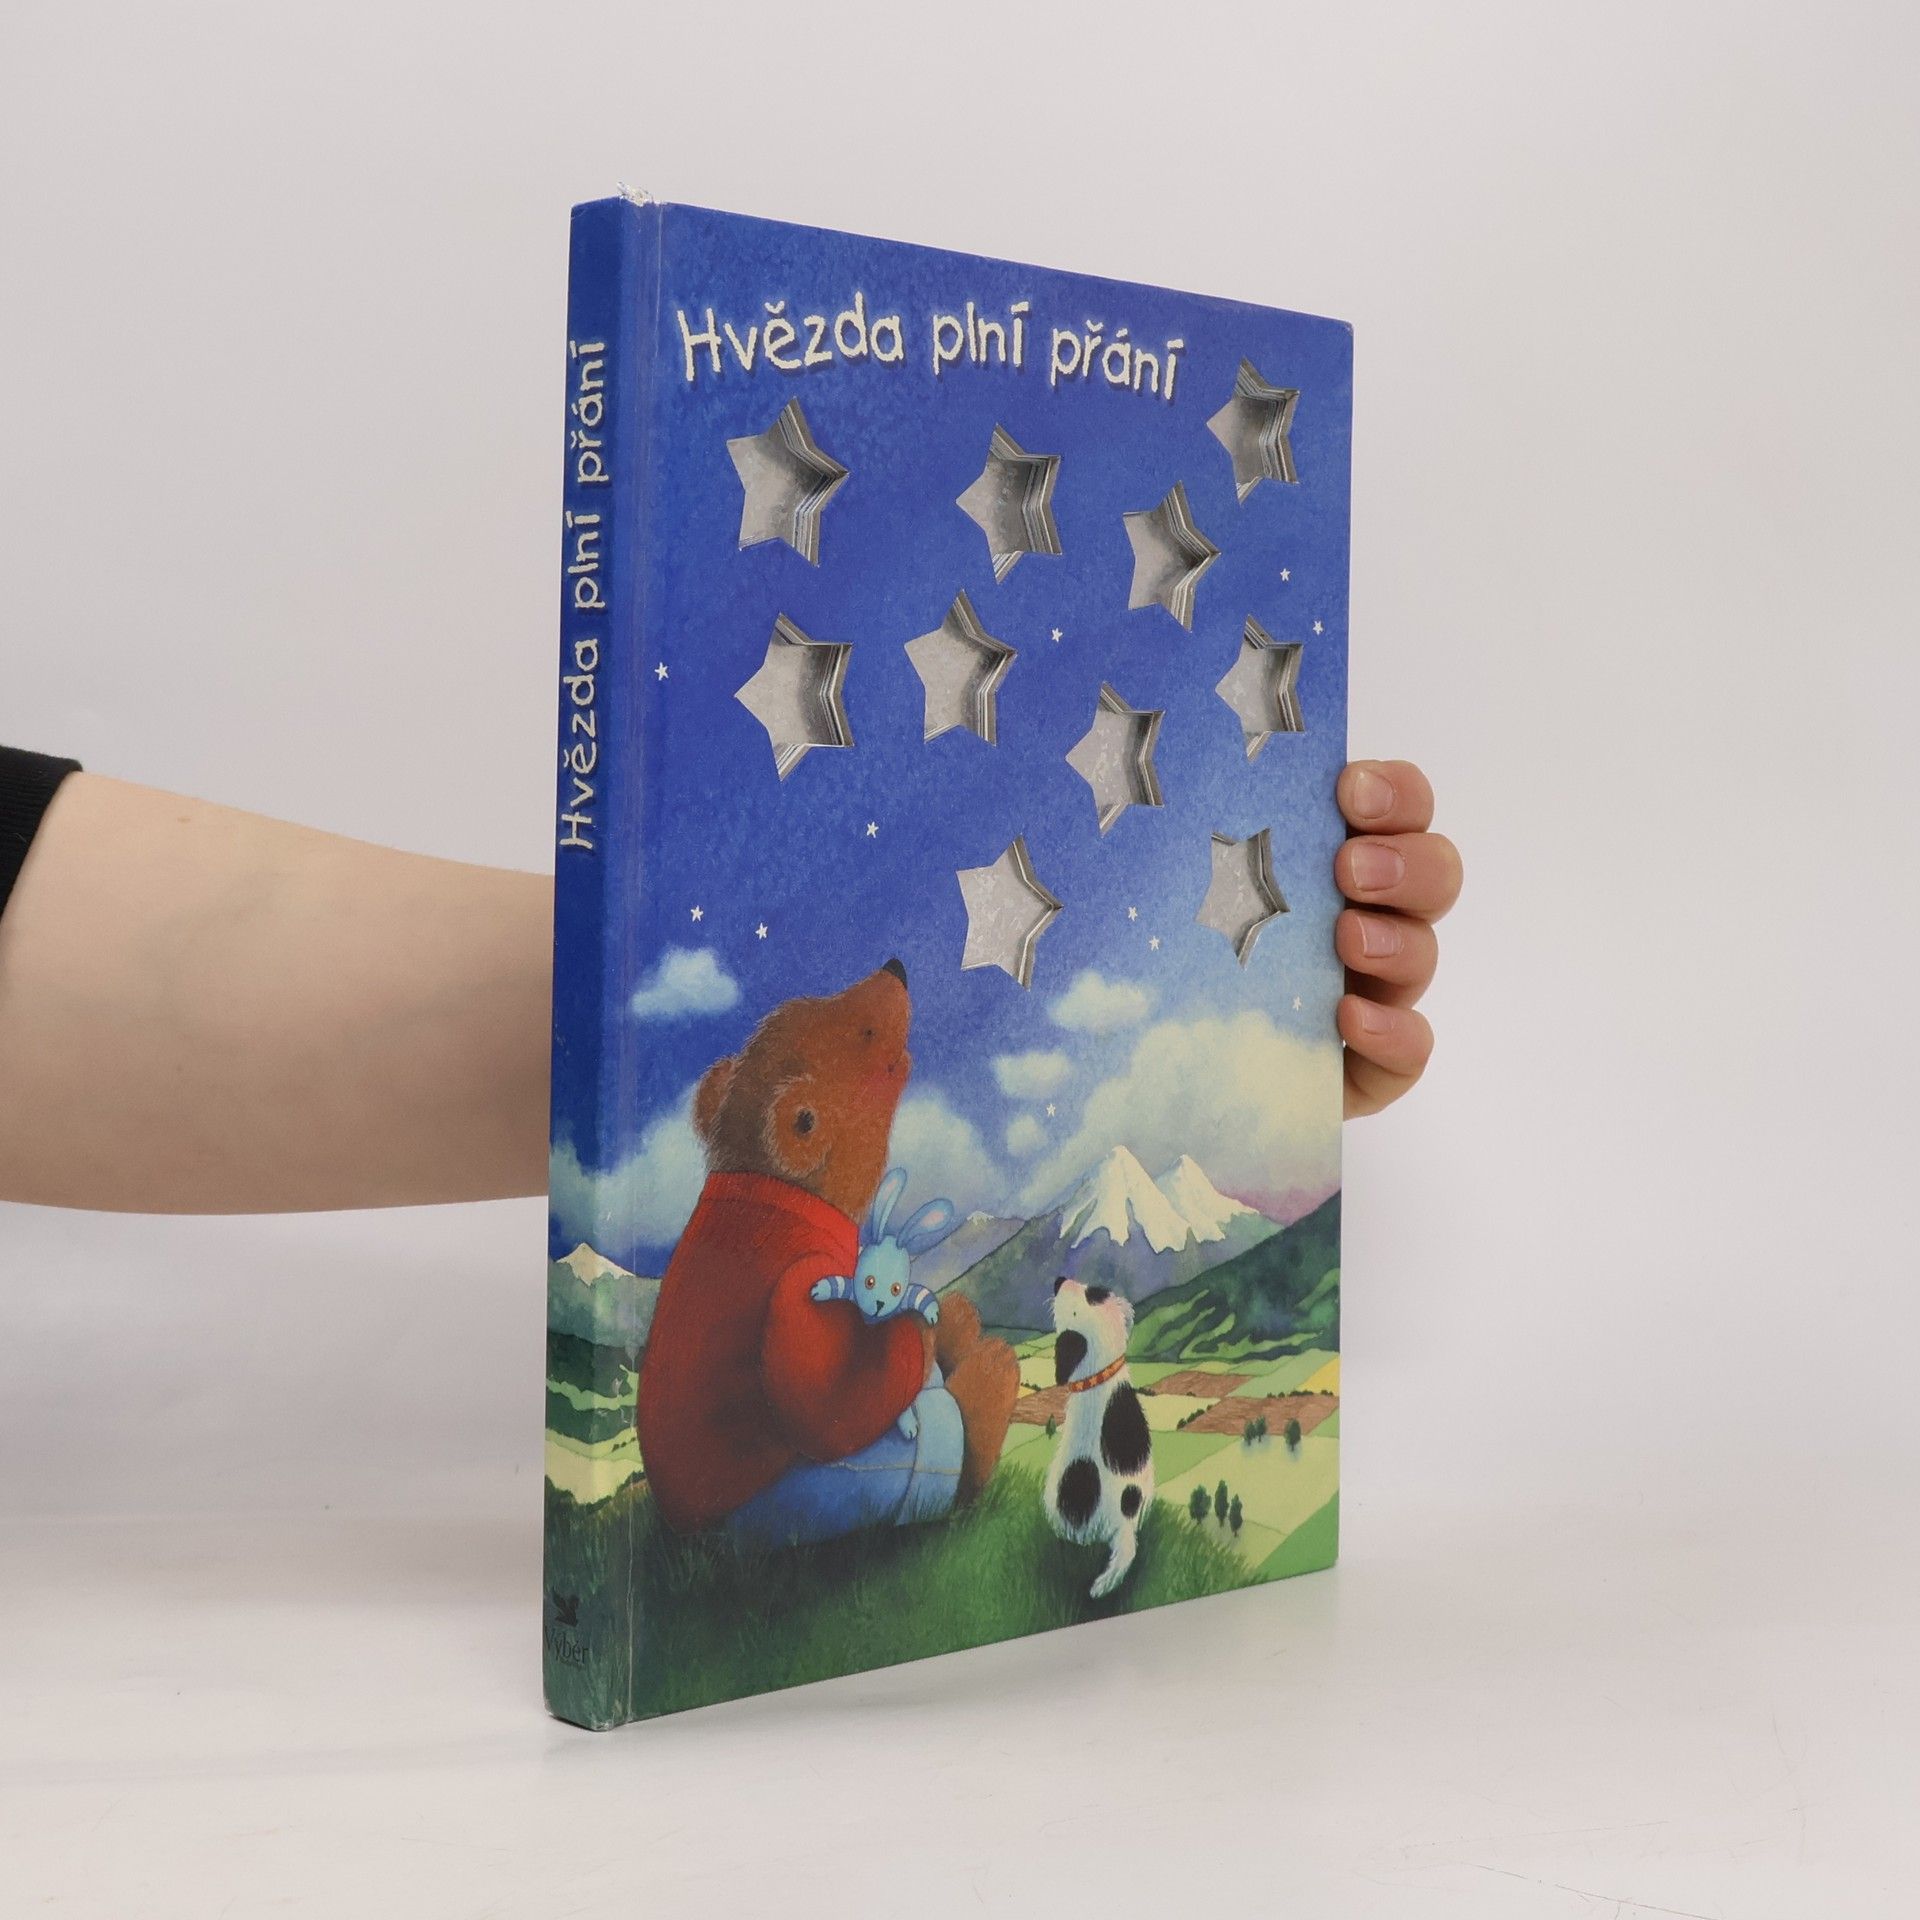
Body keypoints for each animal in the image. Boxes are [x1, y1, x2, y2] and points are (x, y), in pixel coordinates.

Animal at [636, 958, 1019, 1540]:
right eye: (865, 1032)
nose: (897, 967)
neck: (777, 1189)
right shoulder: (796, 1281)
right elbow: (828, 1409)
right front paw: (921, 1333)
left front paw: (943, 1322)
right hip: (821, 1499)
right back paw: (987, 1376)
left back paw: (961, 1326)